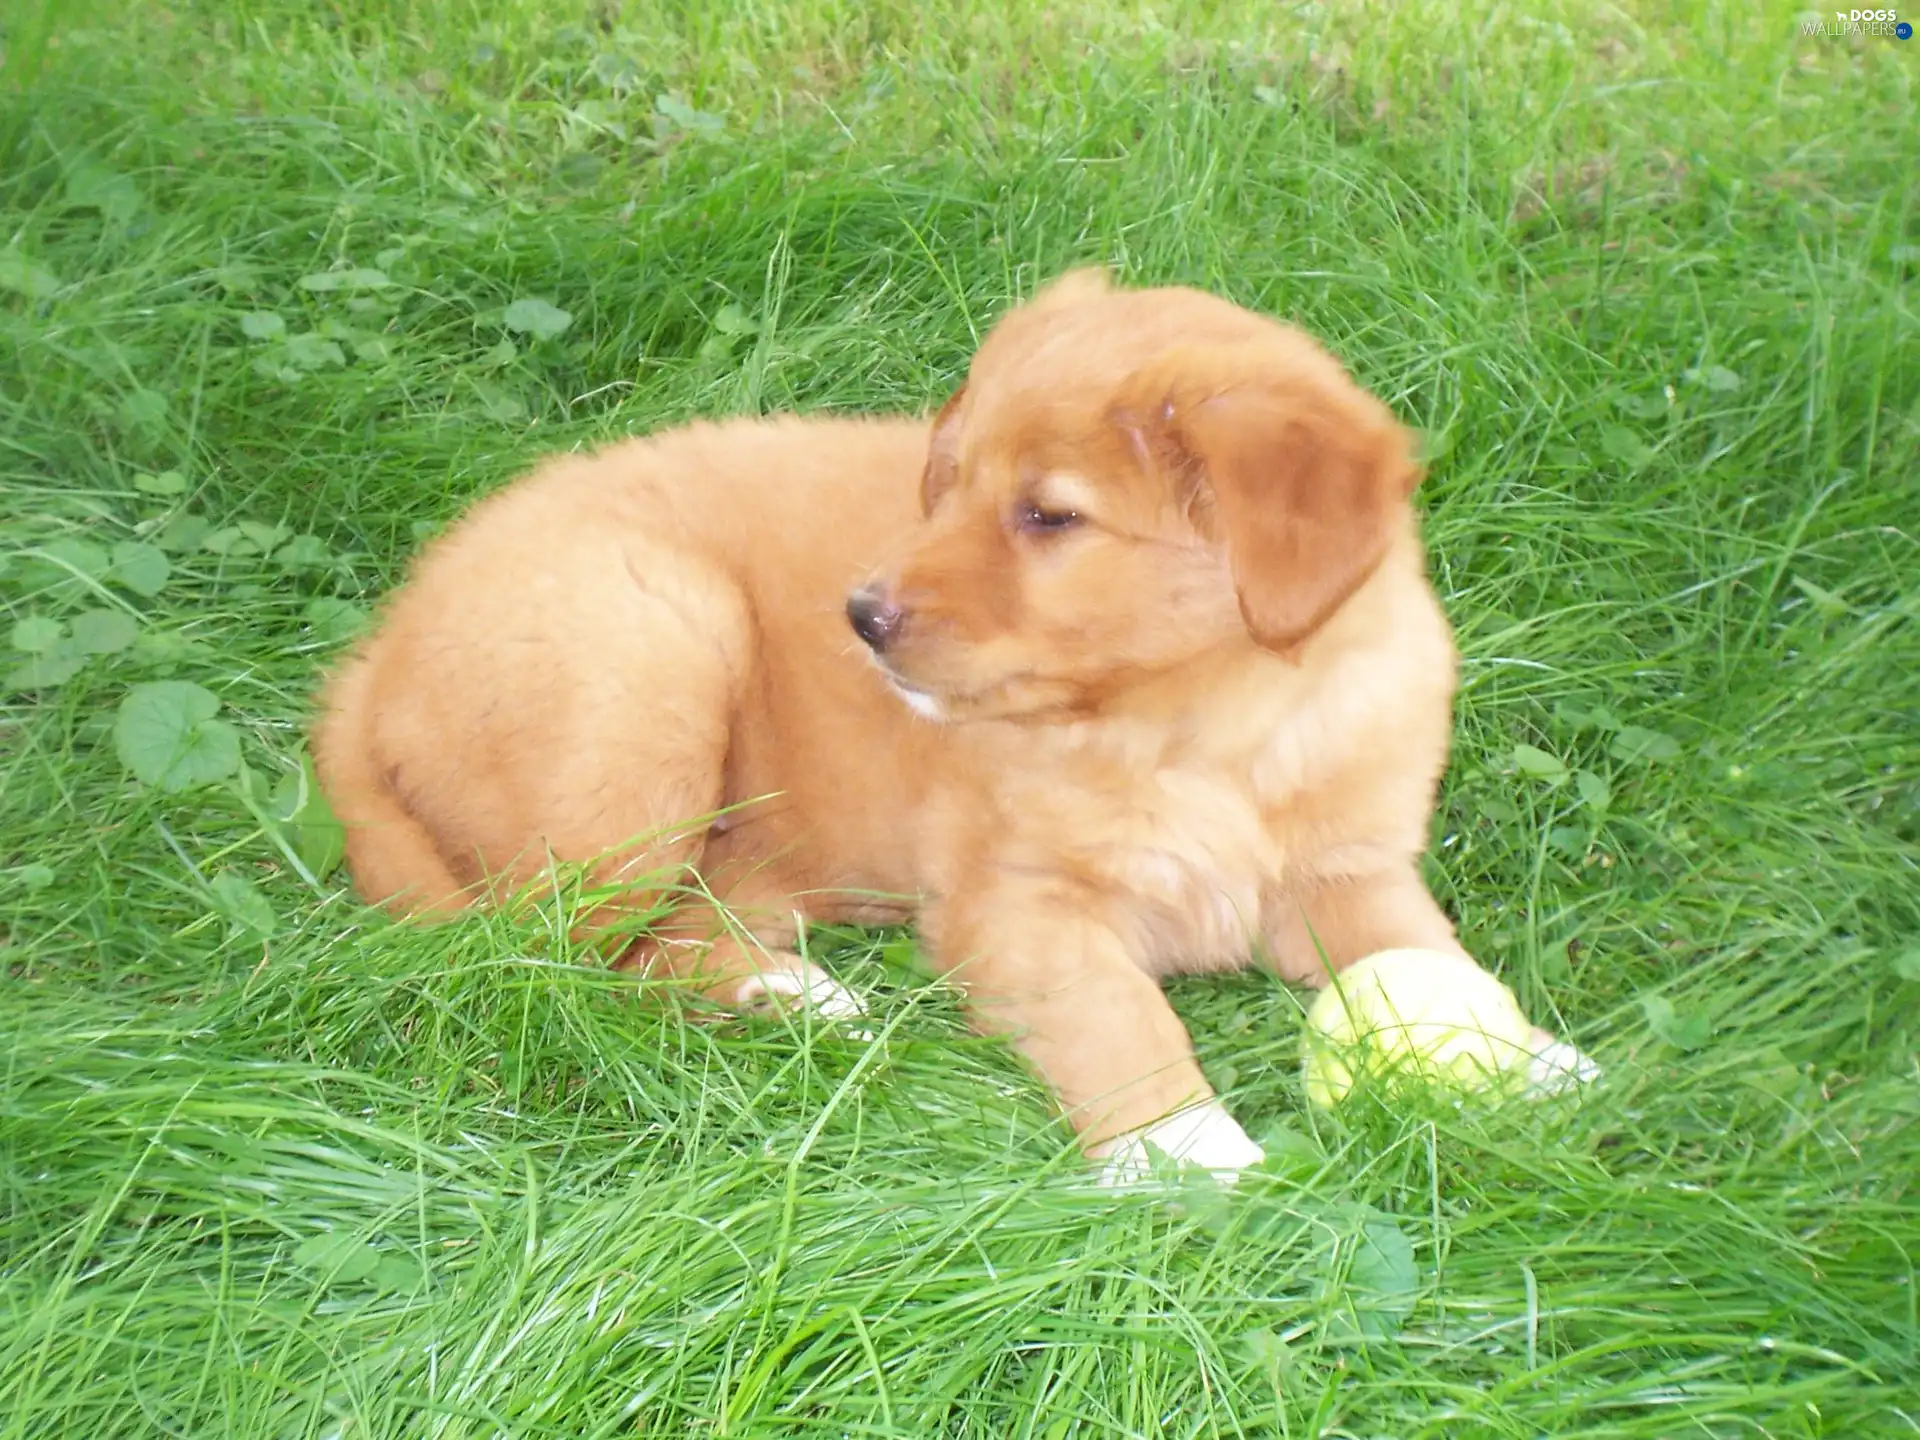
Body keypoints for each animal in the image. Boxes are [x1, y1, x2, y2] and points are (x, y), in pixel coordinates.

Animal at [307, 270, 1582, 1182]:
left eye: (1049, 518)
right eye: (950, 479)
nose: (861, 617)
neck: (1200, 732)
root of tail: (369, 663)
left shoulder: (1347, 866)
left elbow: (1421, 949)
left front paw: (1529, 1058)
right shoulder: (1015, 906)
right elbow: (1118, 1013)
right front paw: (1186, 1149)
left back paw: (790, 989)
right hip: (648, 677)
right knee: (549, 963)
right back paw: (792, 998)